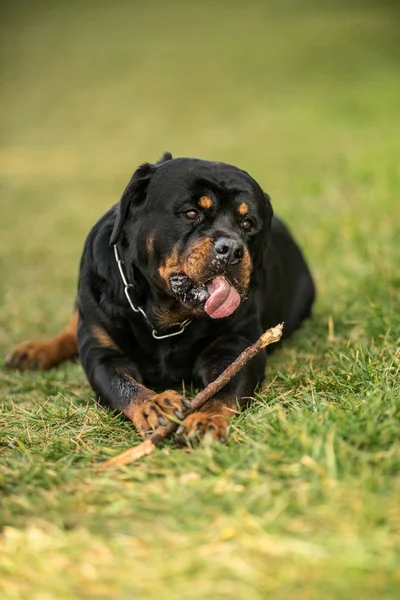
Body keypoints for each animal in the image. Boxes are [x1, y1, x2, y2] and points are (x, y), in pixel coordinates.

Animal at [3, 152, 316, 442]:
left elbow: (225, 388)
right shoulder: (102, 354)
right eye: (191, 213)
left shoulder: (236, 345)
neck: (166, 314)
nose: (232, 249)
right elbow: (122, 385)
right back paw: (35, 351)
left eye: (248, 223)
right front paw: (155, 404)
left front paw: (206, 419)